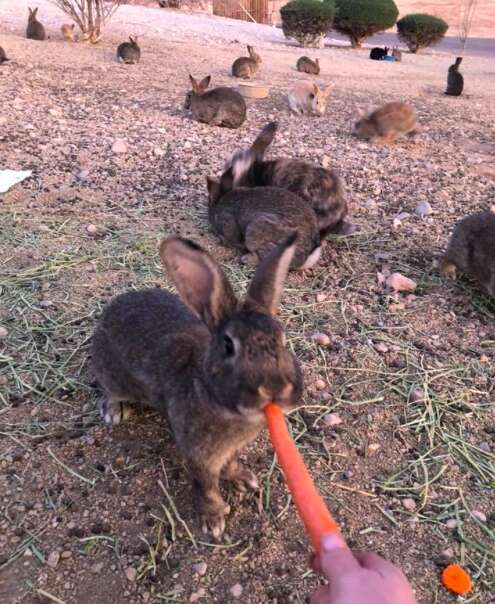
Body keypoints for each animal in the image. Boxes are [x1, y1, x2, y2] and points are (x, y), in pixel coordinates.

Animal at [91, 234, 304, 536]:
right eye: (228, 345)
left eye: (283, 339)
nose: (275, 388)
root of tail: (108, 312)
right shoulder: (199, 455)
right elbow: (206, 487)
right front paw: (213, 520)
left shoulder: (230, 449)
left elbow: (232, 463)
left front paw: (243, 479)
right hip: (112, 376)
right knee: (108, 389)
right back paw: (113, 411)